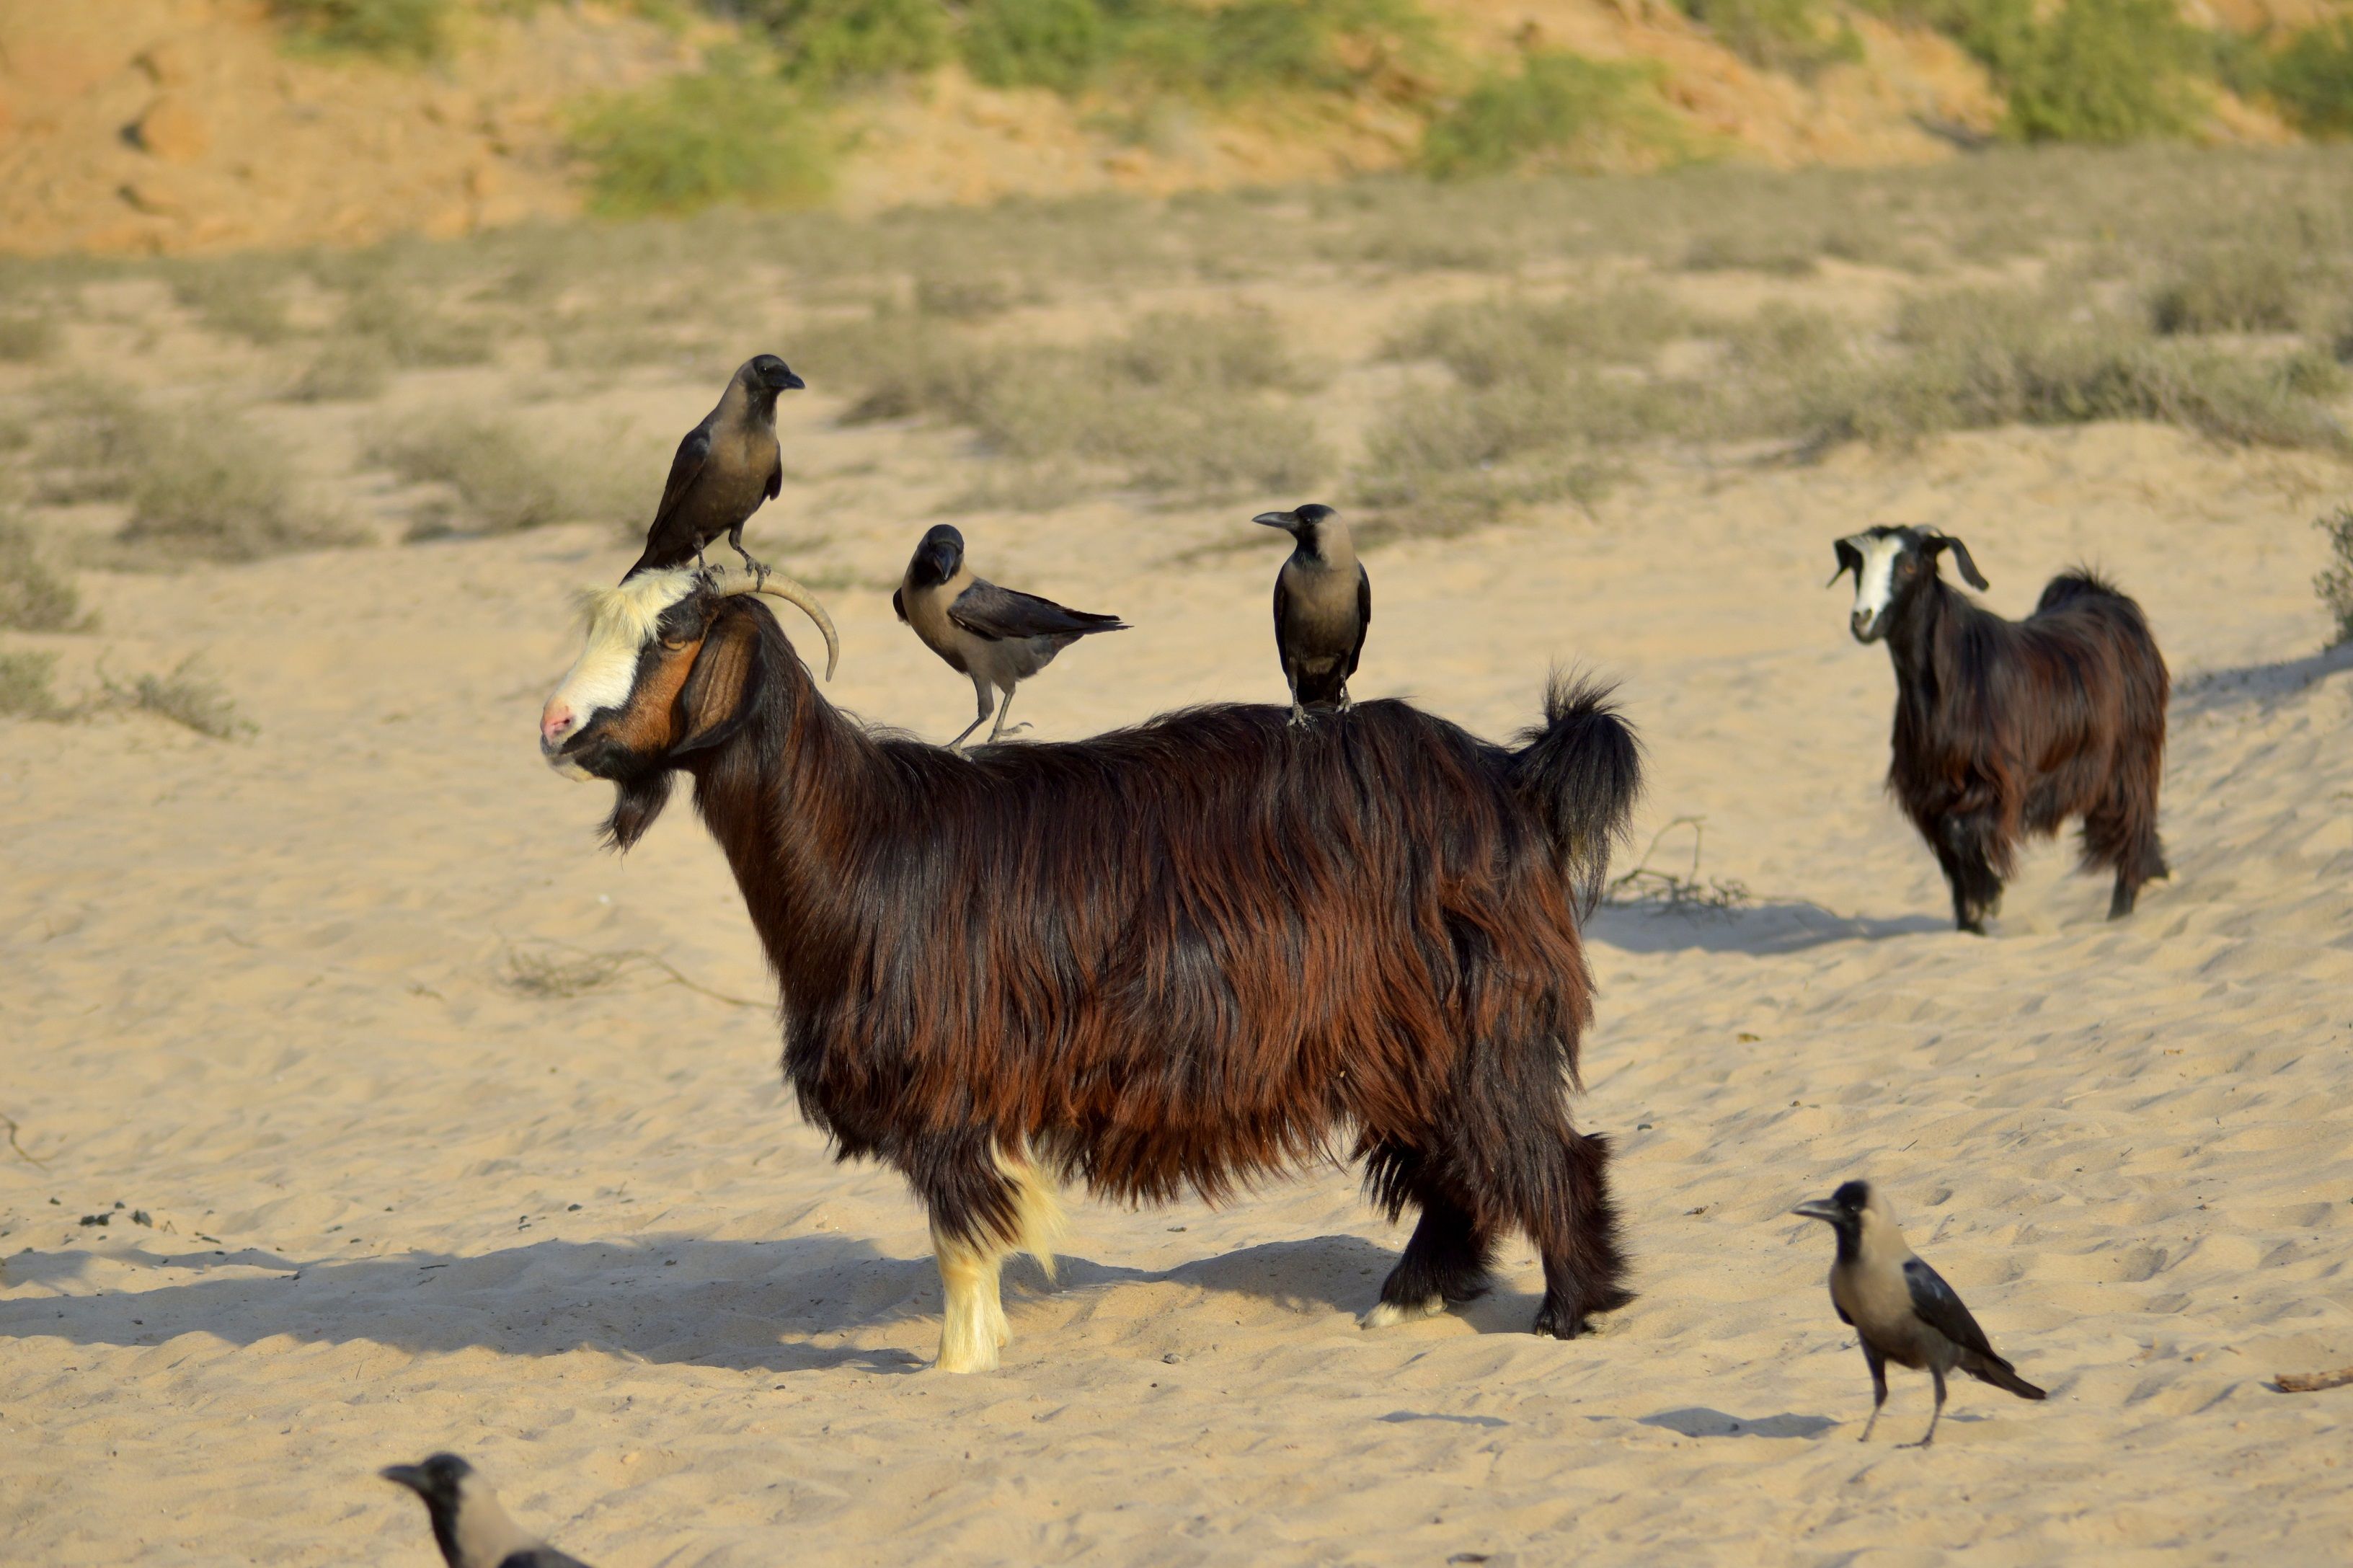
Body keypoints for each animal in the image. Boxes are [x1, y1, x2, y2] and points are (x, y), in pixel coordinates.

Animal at [539, 565, 1642, 1372]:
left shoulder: (948, 1086)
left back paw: (1572, 1309)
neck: (865, 842)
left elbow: (961, 1237)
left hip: (1474, 1011)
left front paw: (962, 1364)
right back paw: (1412, 1298)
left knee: (1546, 1147)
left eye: (673, 635)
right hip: (1405, 1027)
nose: (556, 727)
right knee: (1460, 1158)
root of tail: (1512, 774)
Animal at [1829, 525, 2168, 934]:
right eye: (1857, 567)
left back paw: (2121, 910)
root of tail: (2104, 595)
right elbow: (1950, 852)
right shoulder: (1927, 792)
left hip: (2130, 755)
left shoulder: (1998, 780)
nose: (1862, 619)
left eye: (1909, 565)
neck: (1958, 675)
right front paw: (1971, 923)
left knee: (2132, 824)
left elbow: (1959, 832)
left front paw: (1989, 894)